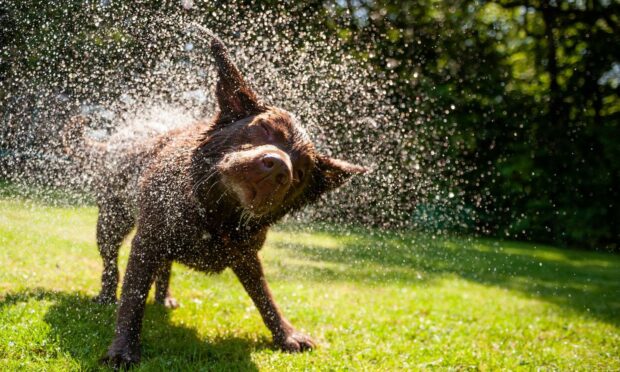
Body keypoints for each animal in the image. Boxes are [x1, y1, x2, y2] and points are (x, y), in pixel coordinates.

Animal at [65, 31, 366, 366]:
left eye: (300, 173)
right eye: (264, 128)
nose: (279, 167)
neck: (215, 213)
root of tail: (116, 141)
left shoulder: (246, 255)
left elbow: (264, 296)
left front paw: (286, 334)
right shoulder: (148, 241)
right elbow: (132, 298)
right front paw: (123, 350)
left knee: (164, 267)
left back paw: (164, 297)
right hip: (112, 221)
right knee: (110, 263)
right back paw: (106, 295)